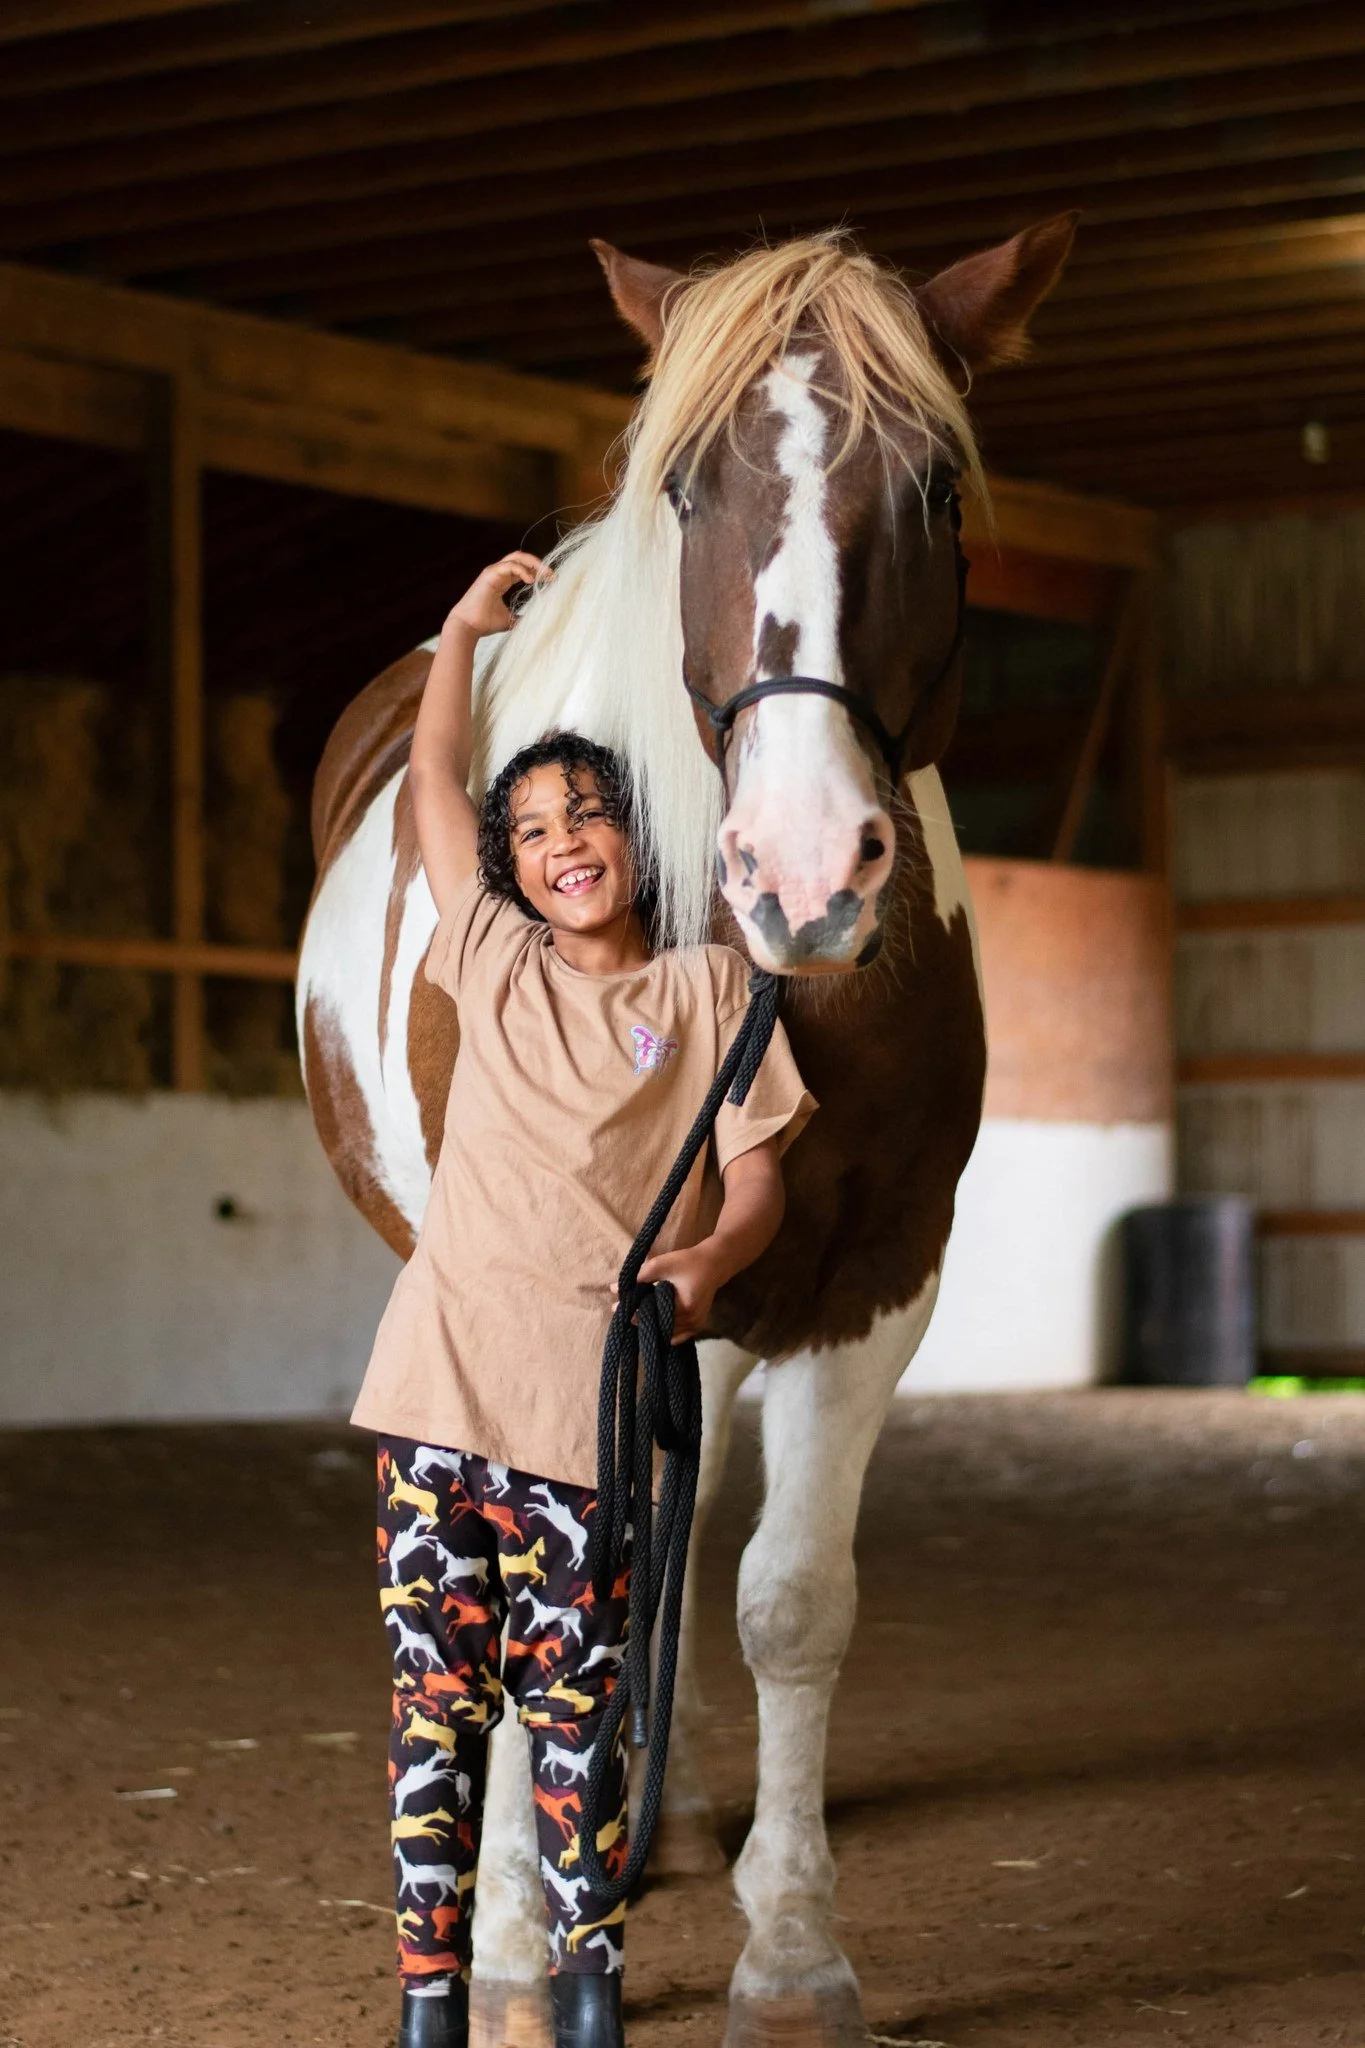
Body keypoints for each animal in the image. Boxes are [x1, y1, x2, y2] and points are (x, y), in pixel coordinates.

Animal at [297, 217, 1075, 2047]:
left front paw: (788, 1947)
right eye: (687, 491)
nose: (803, 866)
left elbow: (789, 1597)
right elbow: (532, 1615)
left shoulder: (871, 1282)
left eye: (936, 484)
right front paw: (520, 1943)